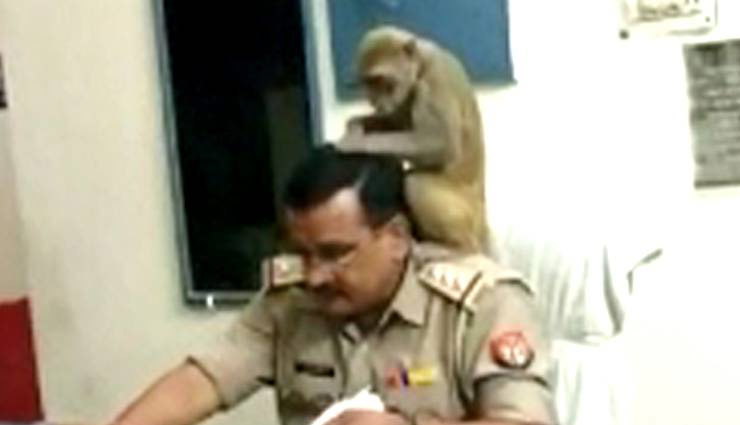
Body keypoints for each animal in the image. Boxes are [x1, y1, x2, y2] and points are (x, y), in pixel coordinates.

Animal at [338, 25, 489, 253]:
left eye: (381, 82)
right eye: (368, 84)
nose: (375, 102)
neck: (421, 64)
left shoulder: (433, 82)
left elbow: (440, 143)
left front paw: (356, 143)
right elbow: (395, 122)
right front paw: (355, 124)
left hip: (470, 217)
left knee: (415, 181)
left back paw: (455, 247)